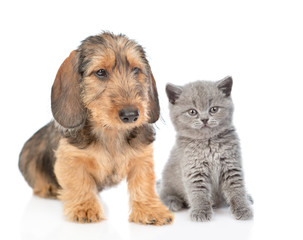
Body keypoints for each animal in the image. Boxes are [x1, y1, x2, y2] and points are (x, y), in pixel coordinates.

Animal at [19, 31, 175, 225]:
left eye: (136, 70)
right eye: (101, 72)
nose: (131, 114)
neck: (110, 132)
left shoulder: (142, 158)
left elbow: (143, 183)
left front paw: (151, 209)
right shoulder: (71, 158)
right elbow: (79, 182)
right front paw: (85, 208)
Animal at [159, 77, 254, 221]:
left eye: (213, 109)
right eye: (192, 112)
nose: (204, 119)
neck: (208, 143)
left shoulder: (231, 165)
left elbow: (237, 189)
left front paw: (243, 208)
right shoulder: (194, 169)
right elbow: (198, 193)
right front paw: (200, 211)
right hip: (168, 179)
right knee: (163, 193)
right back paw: (173, 202)